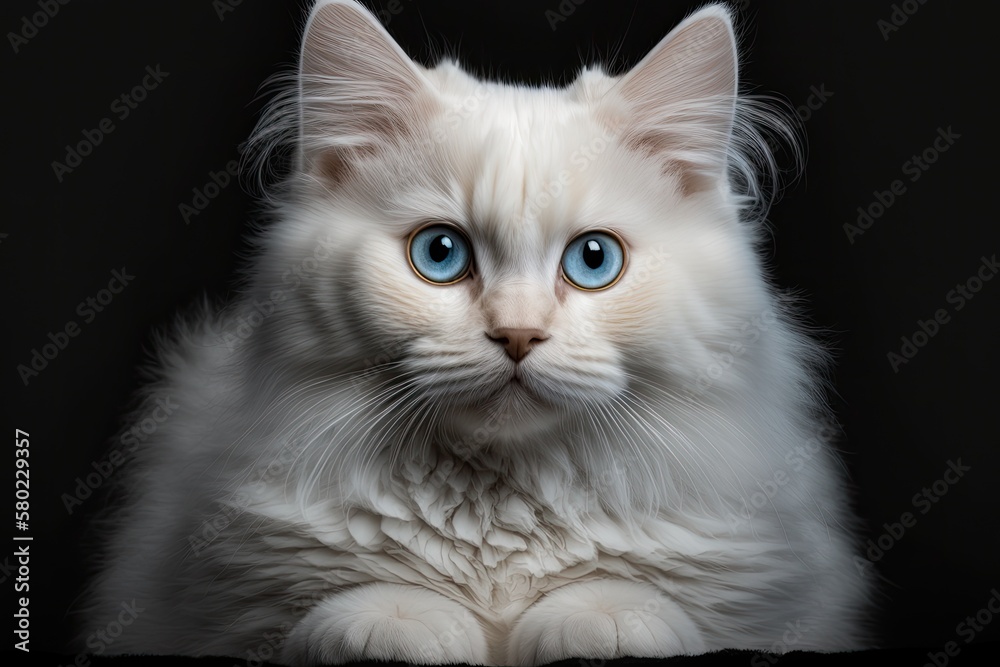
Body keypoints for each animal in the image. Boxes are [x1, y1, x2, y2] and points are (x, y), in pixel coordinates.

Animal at [80, 2, 868, 664]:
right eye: (440, 254)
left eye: (594, 260)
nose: (517, 334)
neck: (501, 509)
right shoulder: (212, 598)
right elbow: (342, 608)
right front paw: (401, 623)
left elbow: (634, 600)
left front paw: (599, 620)